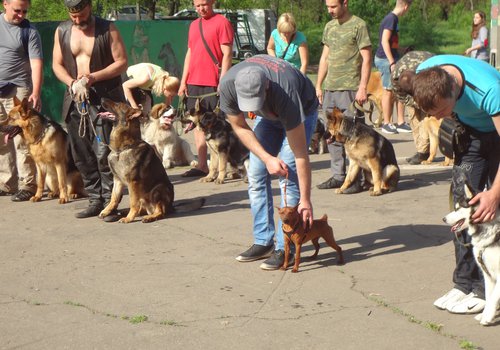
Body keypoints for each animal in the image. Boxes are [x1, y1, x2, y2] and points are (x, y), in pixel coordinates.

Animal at [444, 182, 500, 326]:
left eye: (458, 208)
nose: (443, 219)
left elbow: (494, 297)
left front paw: (488, 317)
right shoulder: (487, 273)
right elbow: (489, 296)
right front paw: (484, 314)